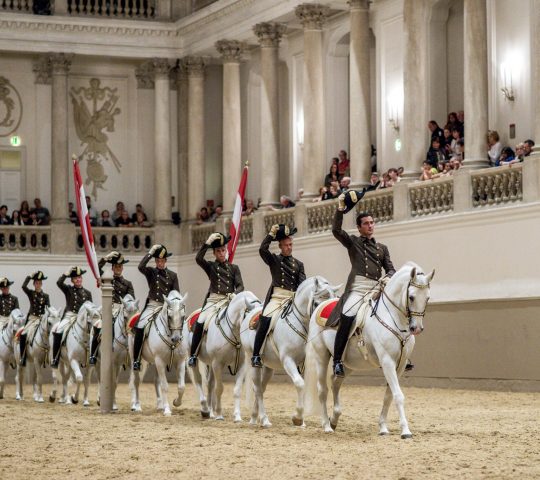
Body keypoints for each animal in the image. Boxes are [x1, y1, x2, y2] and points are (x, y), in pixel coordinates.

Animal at [129, 288, 190, 416]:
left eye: (183, 316)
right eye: (169, 316)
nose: (176, 339)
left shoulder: (180, 361)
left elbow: (181, 386)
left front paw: (176, 402)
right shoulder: (160, 361)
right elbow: (165, 386)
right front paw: (167, 410)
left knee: (155, 380)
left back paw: (159, 406)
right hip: (136, 359)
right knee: (136, 381)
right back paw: (137, 406)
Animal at [190, 290, 262, 422]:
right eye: (254, 321)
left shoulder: (241, 365)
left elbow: (237, 390)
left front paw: (237, 416)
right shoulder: (217, 364)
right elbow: (219, 388)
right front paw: (219, 414)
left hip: (211, 364)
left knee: (210, 384)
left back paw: (210, 412)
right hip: (197, 360)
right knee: (198, 381)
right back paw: (205, 409)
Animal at [242, 276, 340, 430]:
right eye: (316, 302)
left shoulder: (302, 363)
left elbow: (303, 385)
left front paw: (302, 420)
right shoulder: (288, 360)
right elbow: (300, 384)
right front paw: (298, 418)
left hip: (269, 367)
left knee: (262, 389)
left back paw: (254, 417)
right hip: (255, 363)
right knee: (257, 389)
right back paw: (264, 419)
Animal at [306, 264, 432, 436]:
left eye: (427, 298)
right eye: (411, 297)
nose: (417, 328)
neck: (393, 318)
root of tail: (322, 306)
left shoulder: (399, 366)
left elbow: (388, 396)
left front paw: (383, 428)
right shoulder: (387, 362)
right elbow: (398, 395)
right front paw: (405, 431)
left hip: (348, 364)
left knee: (335, 382)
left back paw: (334, 420)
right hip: (321, 357)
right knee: (322, 390)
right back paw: (326, 425)